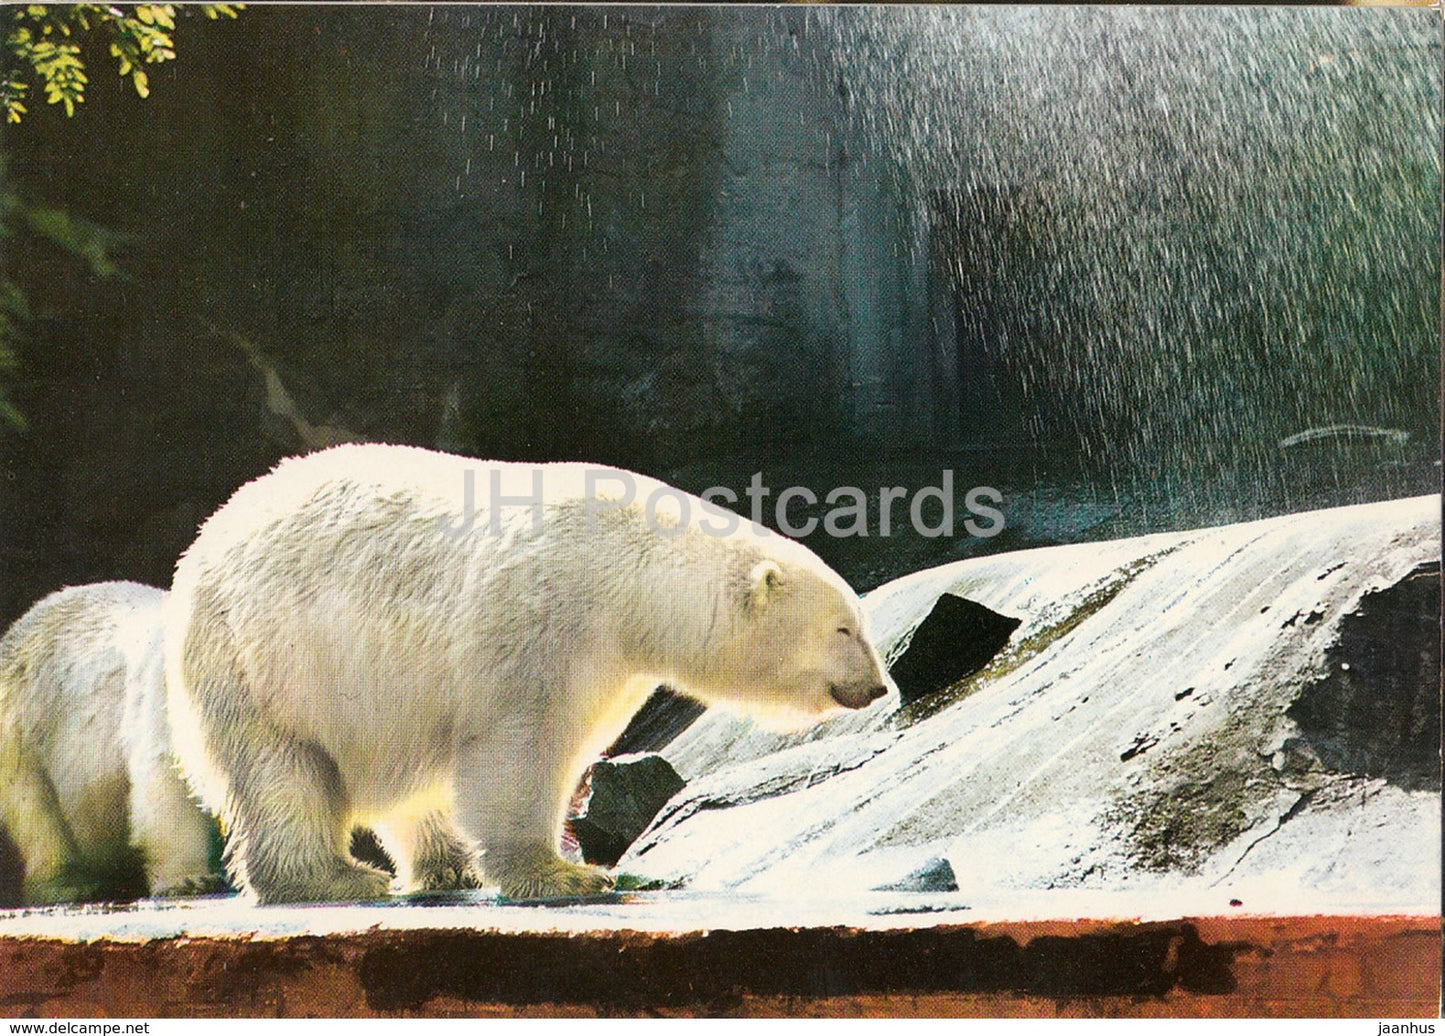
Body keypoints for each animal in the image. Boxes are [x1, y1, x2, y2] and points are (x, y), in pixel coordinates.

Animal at [0, 582, 220, 905]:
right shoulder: (168, 695)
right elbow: (167, 779)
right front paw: (190, 879)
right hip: (24, 724)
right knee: (35, 811)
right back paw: (68, 883)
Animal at [164, 443, 891, 904]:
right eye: (843, 629)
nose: (879, 686)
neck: (631, 571)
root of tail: (204, 538)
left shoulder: (610, 660)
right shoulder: (542, 616)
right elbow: (521, 745)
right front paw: (571, 875)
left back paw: (445, 866)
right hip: (257, 659)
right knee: (283, 771)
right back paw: (333, 879)